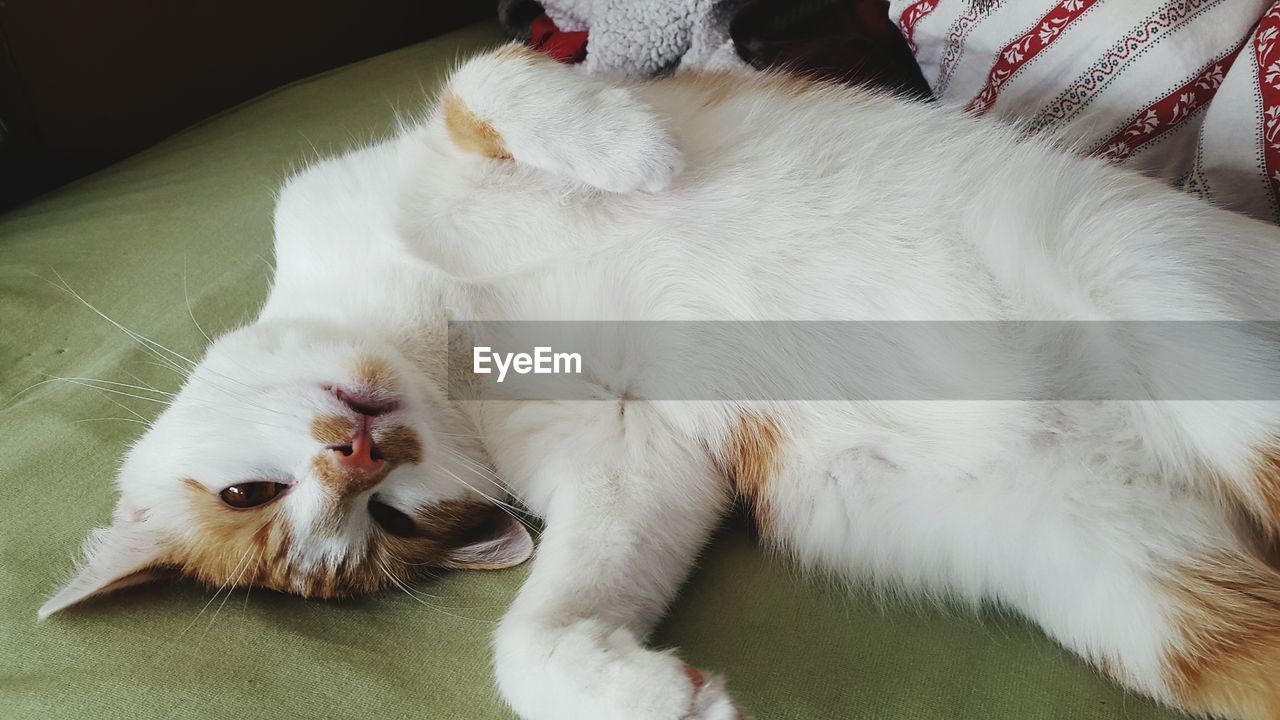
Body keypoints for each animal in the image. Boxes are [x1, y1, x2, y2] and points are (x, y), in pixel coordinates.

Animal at [35, 43, 1280, 717]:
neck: (444, 339)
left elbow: (487, 83)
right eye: (387, 521)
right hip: (1140, 589)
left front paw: (626, 149)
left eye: (246, 494)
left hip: (1170, 304)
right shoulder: (639, 458)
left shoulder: (409, 170)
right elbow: (529, 640)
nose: (358, 453)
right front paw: (642, 692)